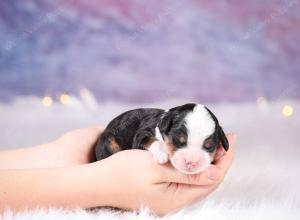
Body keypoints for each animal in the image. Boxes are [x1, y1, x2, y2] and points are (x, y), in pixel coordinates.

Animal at [95, 103, 229, 174]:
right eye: (178, 140)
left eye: (209, 146)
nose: (191, 162)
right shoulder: (141, 135)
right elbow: (154, 141)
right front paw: (162, 154)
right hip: (108, 142)